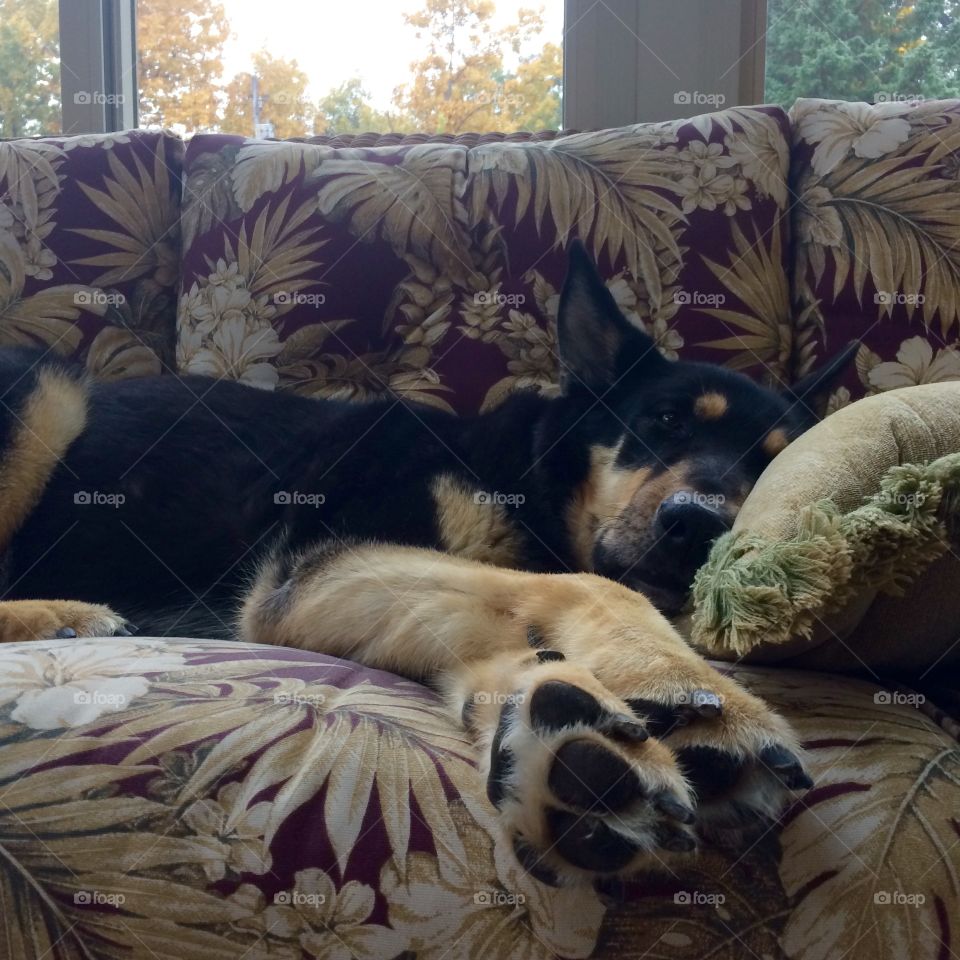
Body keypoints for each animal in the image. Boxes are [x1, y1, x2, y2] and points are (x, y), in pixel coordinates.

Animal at [0, 246, 852, 884]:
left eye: (770, 465)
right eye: (665, 420)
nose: (698, 526)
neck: (524, 480)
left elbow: (505, 652)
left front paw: (567, 739)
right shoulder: (307, 571)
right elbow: (587, 584)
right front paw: (692, 688)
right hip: (42, 390)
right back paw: (62, 615)